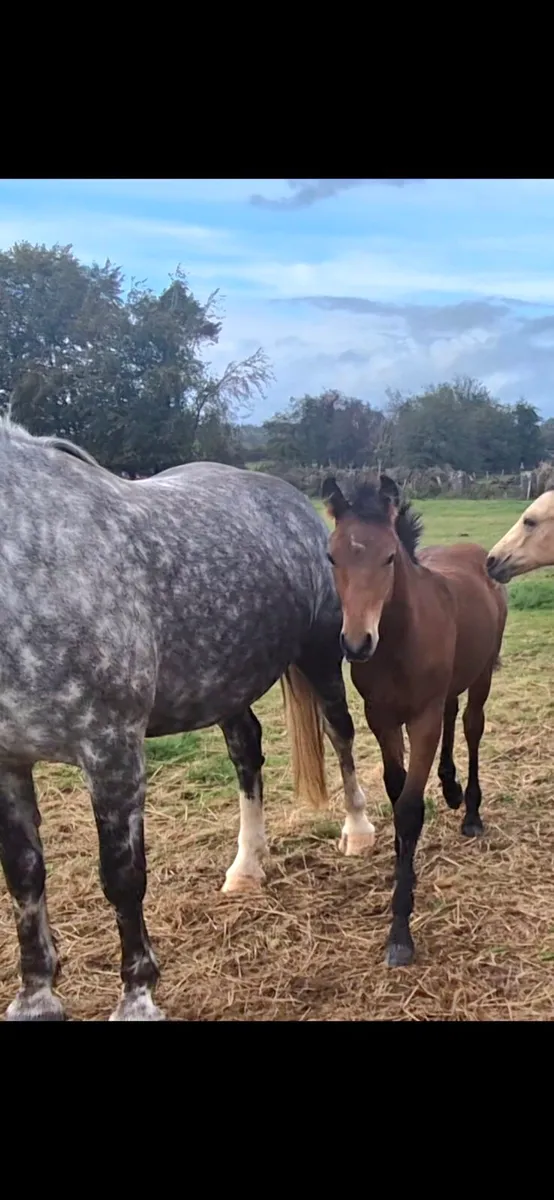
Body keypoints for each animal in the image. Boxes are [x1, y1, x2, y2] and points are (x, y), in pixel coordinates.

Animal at [0, 418, 375, 1022]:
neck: (35, 557)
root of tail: (288, 498)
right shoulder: (9, 760)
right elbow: (24, 875)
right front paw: (35, 998)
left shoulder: (112, 753)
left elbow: (122, 878)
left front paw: (137, 999)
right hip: (227, 686)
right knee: (247, 753)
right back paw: (246, 866)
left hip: (322, 654)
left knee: (340, 733)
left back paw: (358, 832)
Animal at [322, 473, 507, 968]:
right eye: (332, 556)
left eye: (389, 556)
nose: (356, 643)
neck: (399, 640)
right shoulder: (382, 718)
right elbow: (394, 787)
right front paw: (397, 862)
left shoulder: (419, 720)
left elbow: (408, 807)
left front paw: (400, 928)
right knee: (452, 713)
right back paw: (450, 786)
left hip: (482, 673)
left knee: (472, 726)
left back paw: (471, 811)